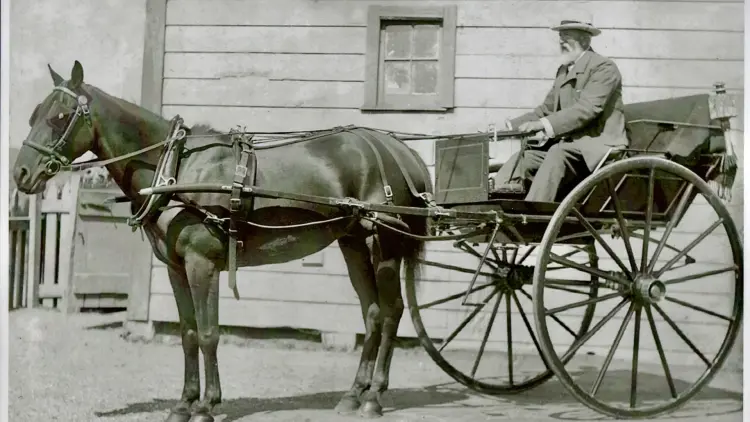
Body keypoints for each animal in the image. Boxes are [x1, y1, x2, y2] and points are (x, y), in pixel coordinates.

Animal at [13, 61, 434, 422]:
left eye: (59, 116)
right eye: (33, 115)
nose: (21, 174)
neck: (176, 168)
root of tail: (400, 150)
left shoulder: (203, 264)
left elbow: (209, 333)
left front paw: (206, 405)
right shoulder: (176, 269)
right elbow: (187, 334)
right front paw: (184, 403)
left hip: (385, 244)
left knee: (393, 311)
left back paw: (375, 396)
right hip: (353, 243)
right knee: (373, 313)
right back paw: (353, 394)